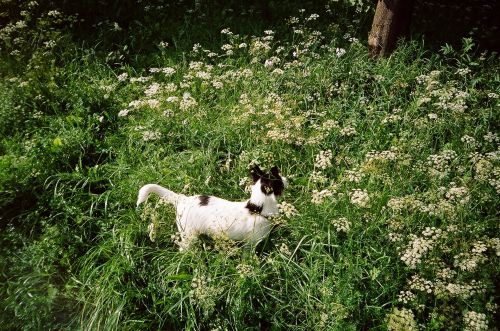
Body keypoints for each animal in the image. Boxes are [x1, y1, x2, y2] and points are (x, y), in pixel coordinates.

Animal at [137, 167, 288, 248]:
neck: (256, 207)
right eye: (280, 179)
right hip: (189, 235)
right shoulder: (251, 244)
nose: (287, 179)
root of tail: (183, 199)